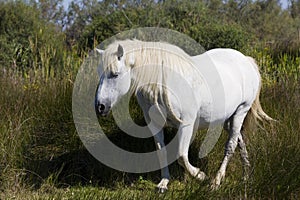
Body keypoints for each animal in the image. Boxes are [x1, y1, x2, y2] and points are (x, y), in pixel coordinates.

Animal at [95, 39, 274, 192]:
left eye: (115, 74)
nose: (100, 107)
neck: (162, 82)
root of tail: (246, 60)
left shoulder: (186, 124)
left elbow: (181, 156)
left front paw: (200, 175)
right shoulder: (155, 125)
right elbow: (161, 152)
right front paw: (164, 183)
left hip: (241, 111)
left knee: (230, 146)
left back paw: (216, 182)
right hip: (227, 118)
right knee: (239, 141)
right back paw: (246, 176)